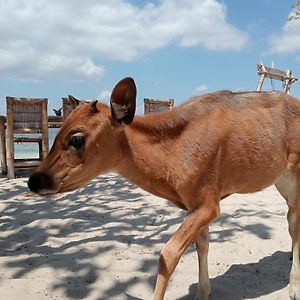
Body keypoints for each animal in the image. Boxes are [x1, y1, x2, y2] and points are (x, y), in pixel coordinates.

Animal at [28, 78, 300, 300]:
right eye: (57, 130)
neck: (172, 158)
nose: (34, 180)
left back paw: (293, 288)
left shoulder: (209, 203)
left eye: (76, 139)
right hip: (280, 180)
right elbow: (202, 245)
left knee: (293, 224)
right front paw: (203, 292)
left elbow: (167, 255)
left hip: (295, 175)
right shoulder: (196, 204)